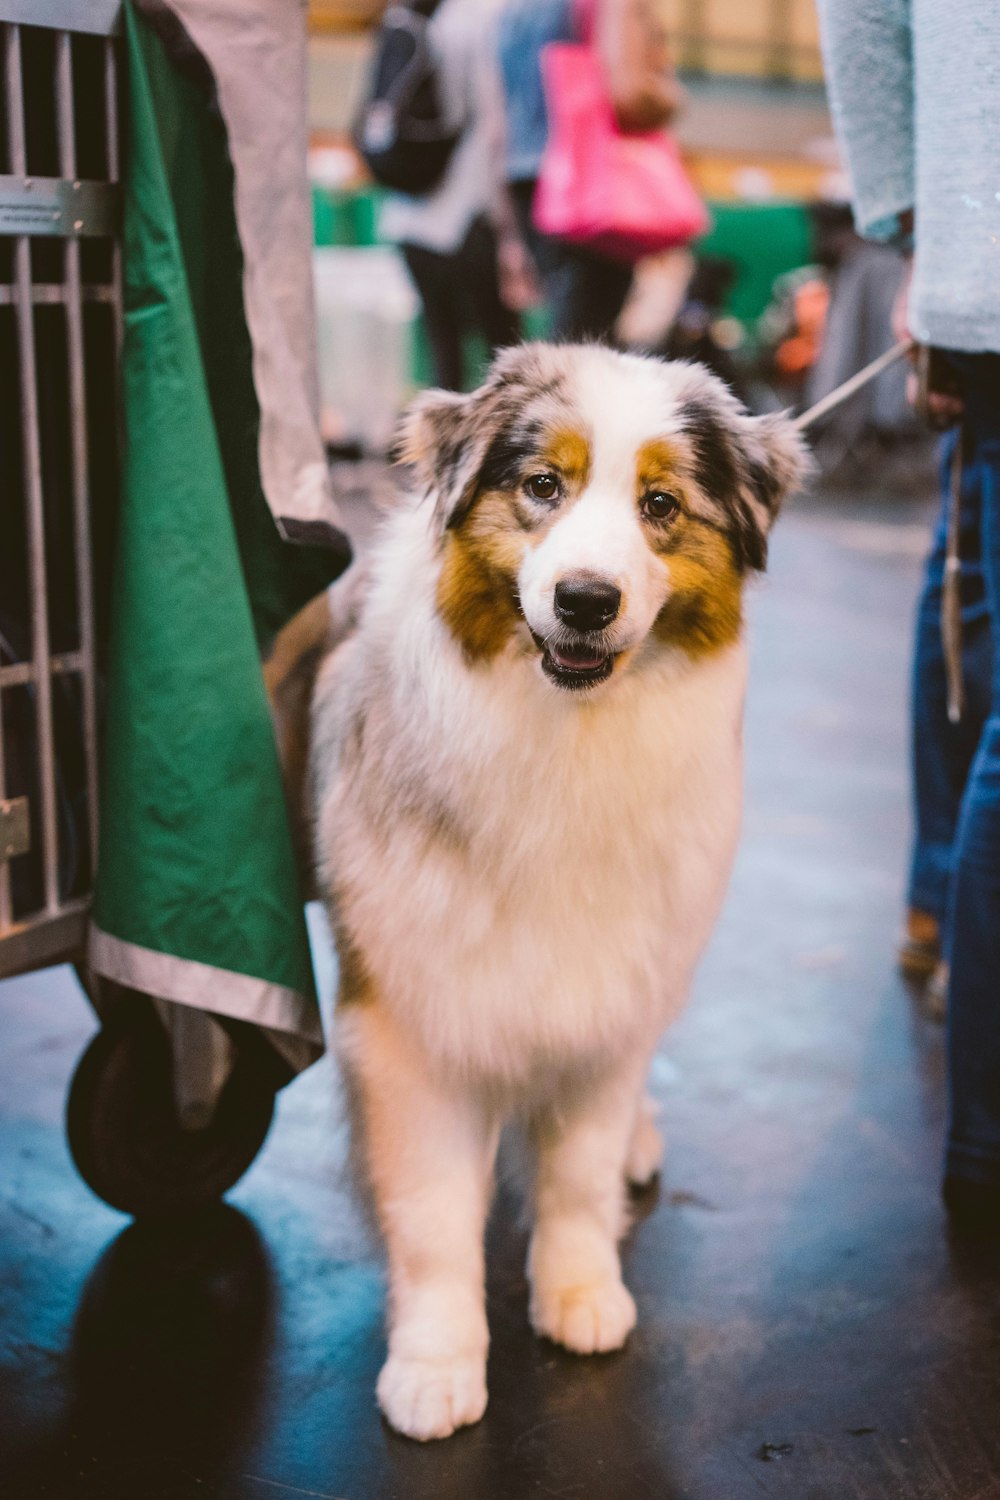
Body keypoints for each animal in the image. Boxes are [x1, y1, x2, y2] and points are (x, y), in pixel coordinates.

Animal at [313, 343, 815, 1440]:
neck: (566, 738)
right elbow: (434, 1215)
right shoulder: (412, 1021)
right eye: (544, 486)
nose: (586, 600)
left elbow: (577, 1176)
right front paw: (436, 1365)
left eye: (660, 504)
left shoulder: (611, 993)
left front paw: (582, 1294)